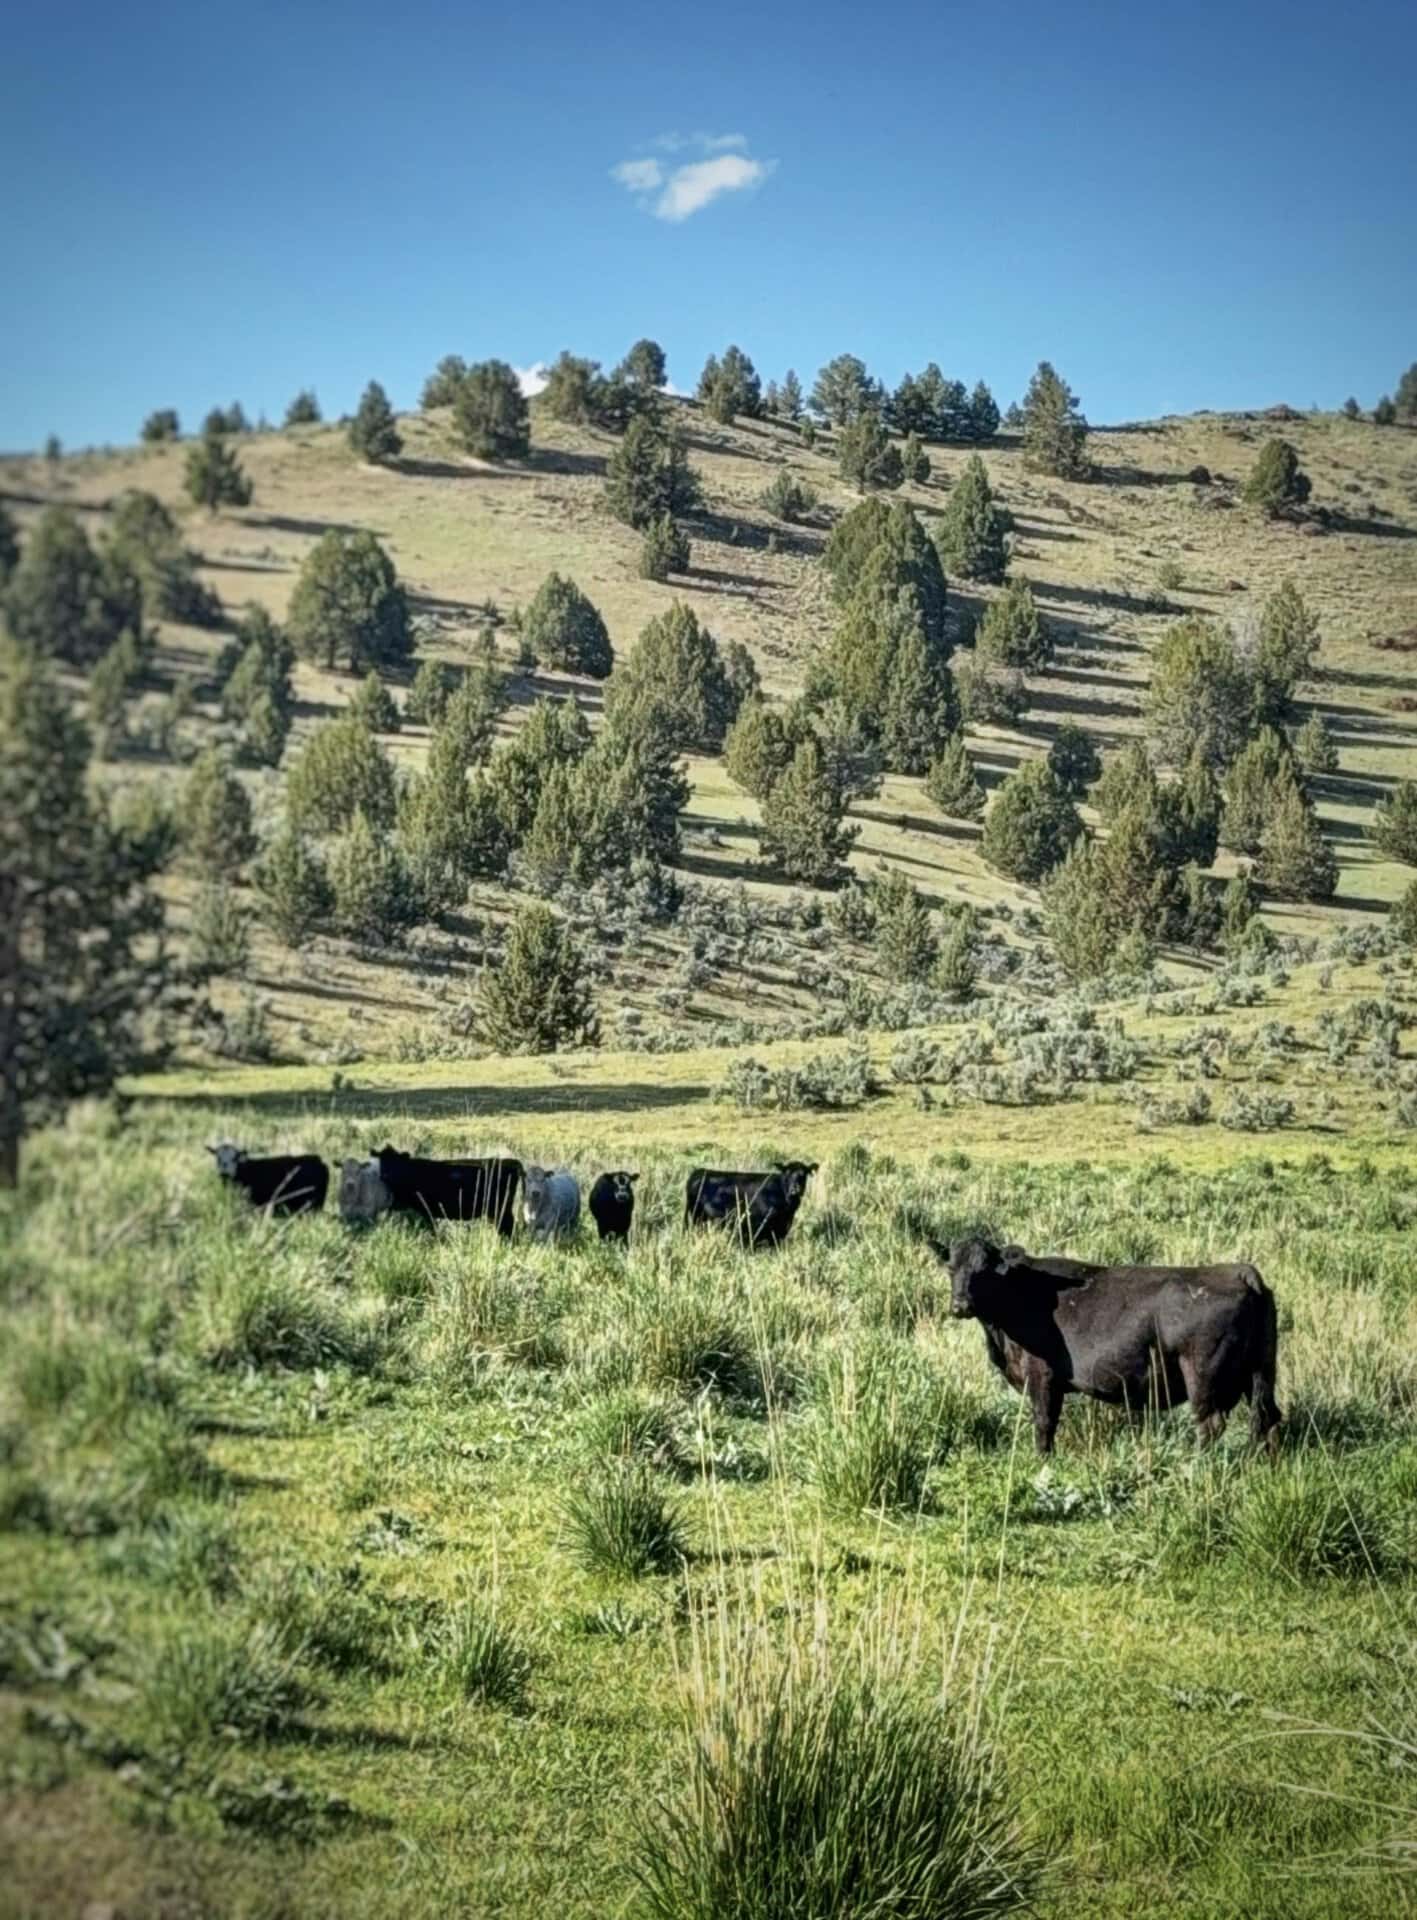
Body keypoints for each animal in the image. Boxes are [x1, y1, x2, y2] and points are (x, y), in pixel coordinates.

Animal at [338, 1145, 522, 1235]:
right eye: (382, 1160)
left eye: (396, 1161)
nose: (385, 1174)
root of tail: (510, 1161)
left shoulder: (427, 1210)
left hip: (501, 1209)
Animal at [684, 1162, 818, 1250]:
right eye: (787, 1174)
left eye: (803, 1175)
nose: (795, 1189)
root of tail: (700, 1171)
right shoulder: (755, 1227)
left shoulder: (781, 1229)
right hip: (692, 1215)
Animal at [942, 1236, 1281, 1456]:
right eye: (950, 1268)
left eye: (984, 1269)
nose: (960, 1305)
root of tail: (1239, 1270)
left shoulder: (1042, 1378)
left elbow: (1044, 1423)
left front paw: (1042, 1461)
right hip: (1260, 1374)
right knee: (1268, 1420)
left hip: (1201, 1377)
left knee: (1210, 1424)